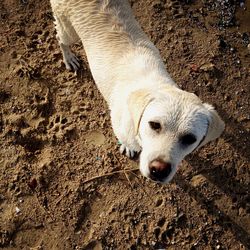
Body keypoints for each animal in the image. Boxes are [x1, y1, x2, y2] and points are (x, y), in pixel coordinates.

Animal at [49, 0, 226, 184]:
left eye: (190, 139)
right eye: (154, 125)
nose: (159, 170)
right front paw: (128, 147)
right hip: (68, 29)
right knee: (60, 39)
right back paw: (68, 57)